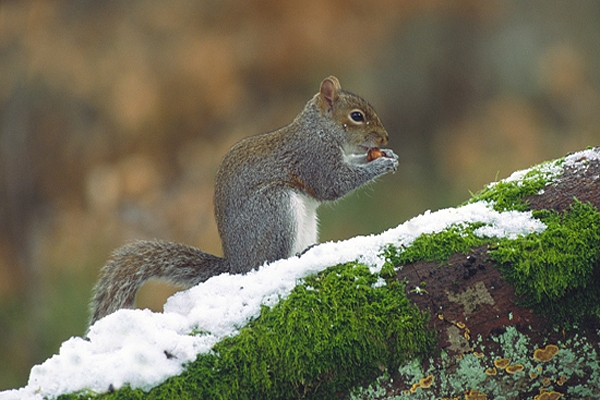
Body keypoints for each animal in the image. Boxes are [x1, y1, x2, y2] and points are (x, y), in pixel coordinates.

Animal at [88, 76, 398, 326]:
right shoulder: (314, 158)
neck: (319, 130)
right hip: (275, 208)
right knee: (270, 261)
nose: (385, 138)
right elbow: (334, 185)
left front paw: (387, 155)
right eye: (357, 116)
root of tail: (236, 265)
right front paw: (380, 165)